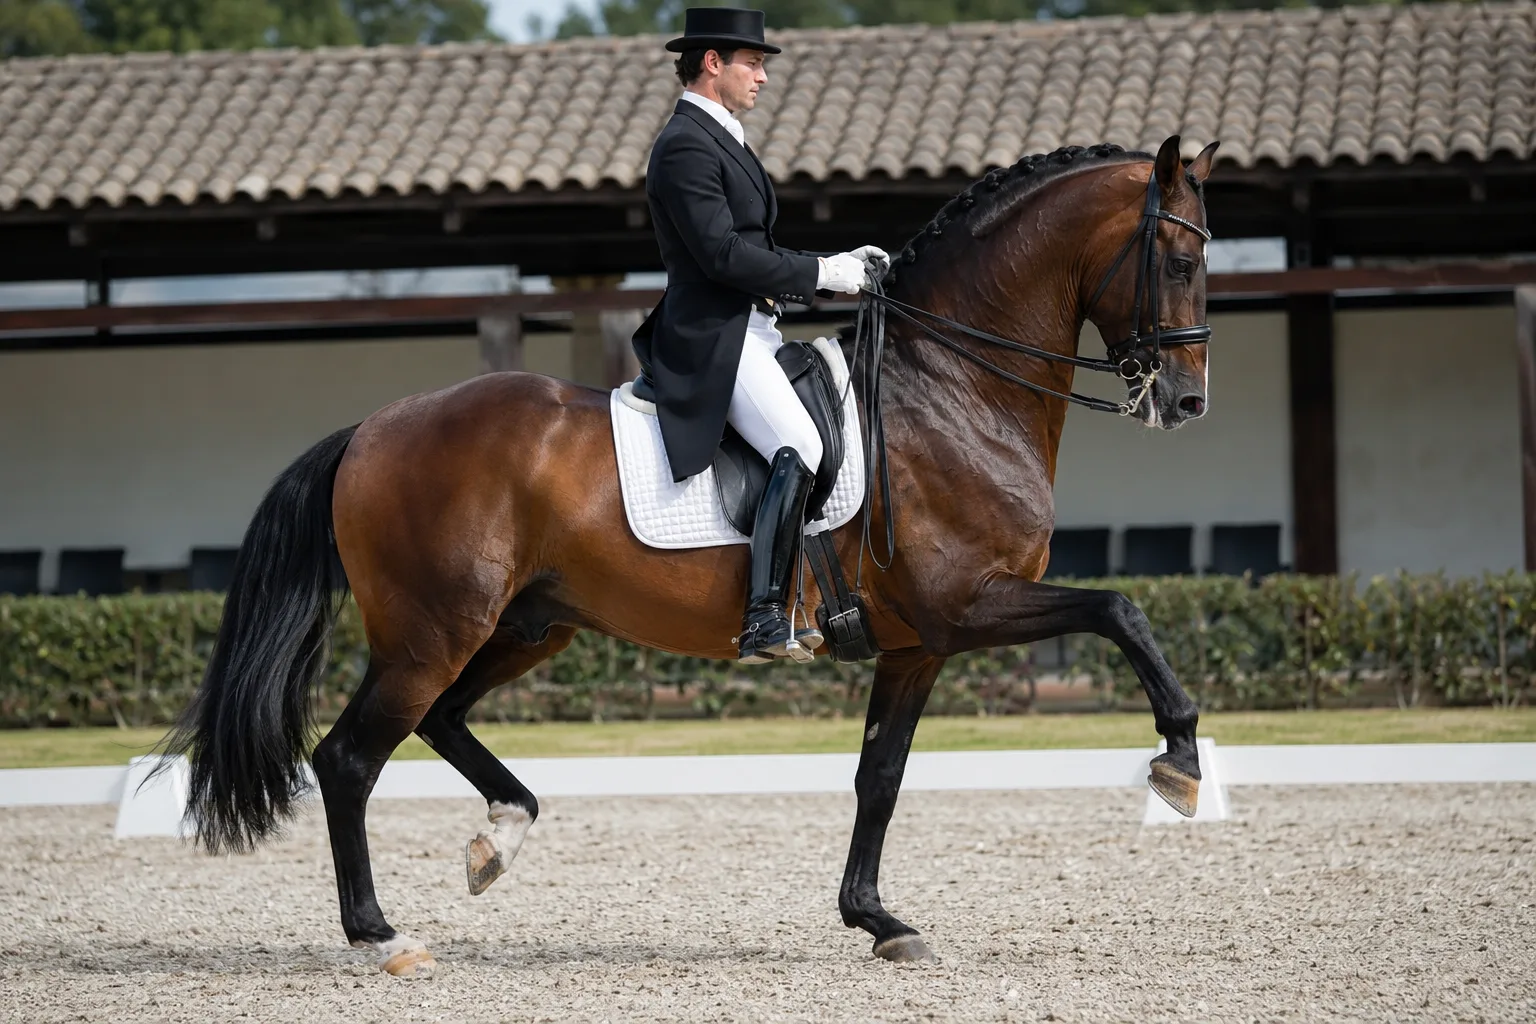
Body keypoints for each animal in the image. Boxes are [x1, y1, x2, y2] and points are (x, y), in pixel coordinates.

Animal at [164, 134, 1219, 977]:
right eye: (1175, 258)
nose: (1187, 403)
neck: (951, 389)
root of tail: (372, 430)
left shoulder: (919, 643)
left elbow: (879, 779)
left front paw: (879, 920)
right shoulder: (967, 604)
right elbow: (1122, 608)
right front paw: (1179, 759)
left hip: (526, 626)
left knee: (441, 721)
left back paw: (500, 837)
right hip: (433, 631)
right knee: (348, 758)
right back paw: (381, 934)